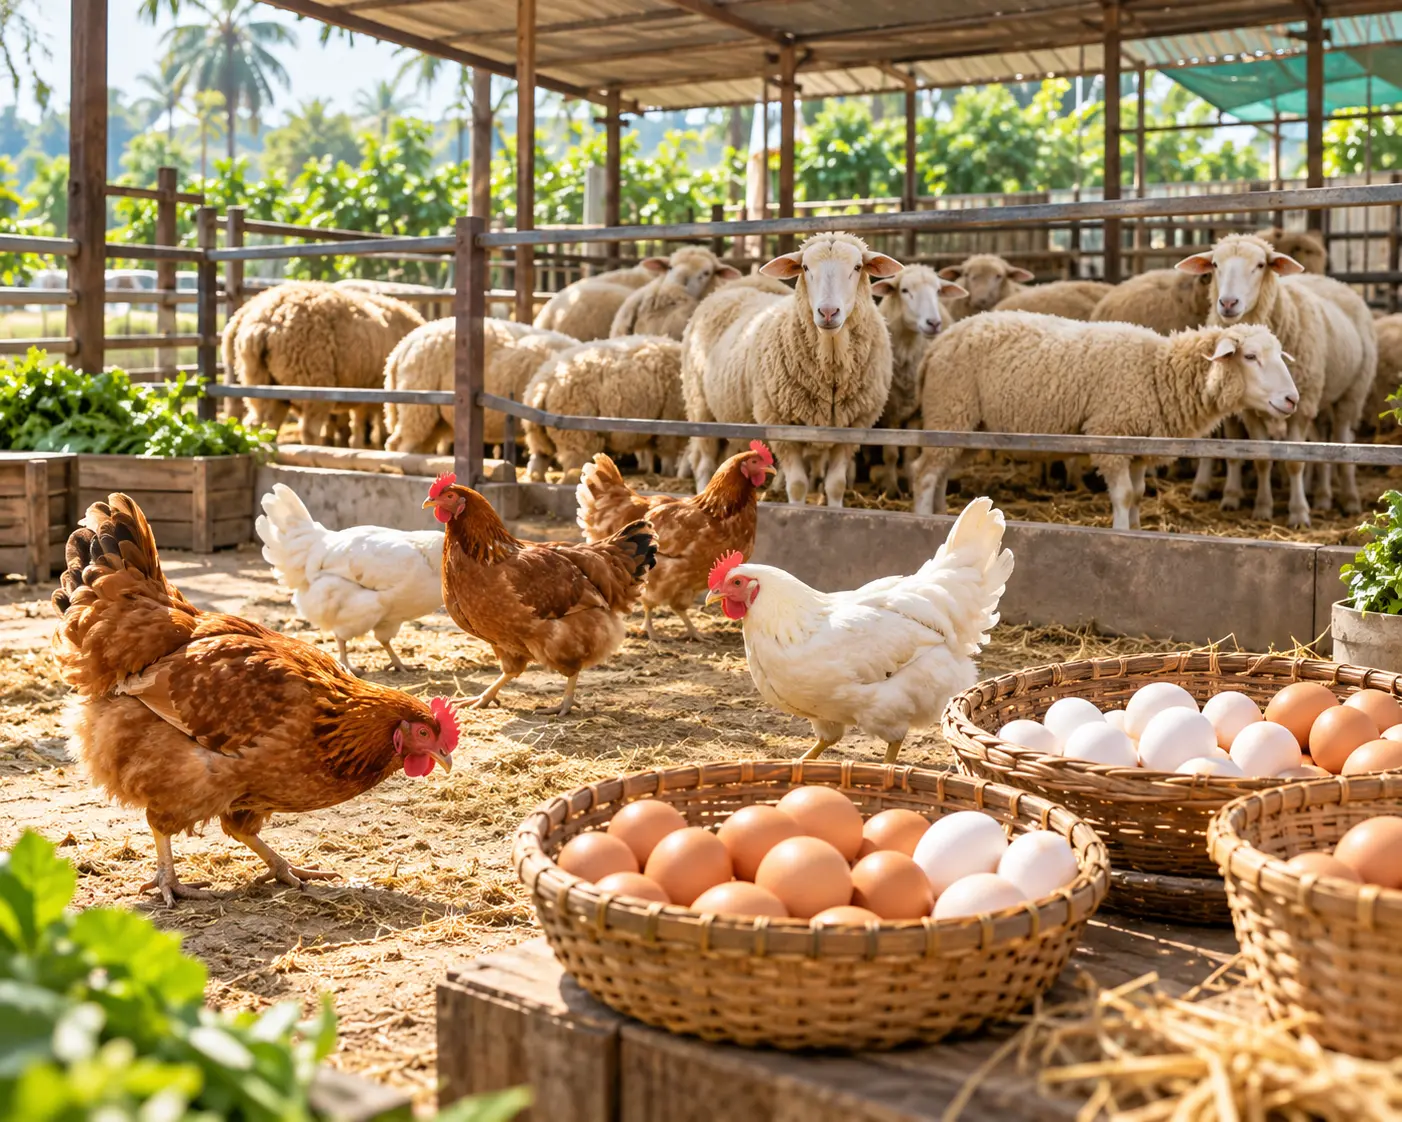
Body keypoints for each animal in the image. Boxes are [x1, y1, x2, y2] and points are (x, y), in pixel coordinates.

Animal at [222, 281, 424, 448]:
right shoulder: (372, 390)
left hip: (260, 381)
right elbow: (363, 422)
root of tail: (266, 320)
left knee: (260, 424)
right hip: (312, 380)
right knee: (308, 430)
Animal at [524, 335, 687, 482]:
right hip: (576, 437)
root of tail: (542, 385)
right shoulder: (671, 420)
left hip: (539, 438)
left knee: (537, 464)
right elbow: (668, 457)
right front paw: (669, 475)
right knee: (570, 474)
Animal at [681, 233, 900, 507]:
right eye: (805, 267)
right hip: (700, 407)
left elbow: (836, 485)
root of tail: (736, 285)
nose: (828, 312)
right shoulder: (780, 424)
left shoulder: (854, 427)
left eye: (858, 267)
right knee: (703, 462)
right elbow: (797, 486)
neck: (830, 367)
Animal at [910, 312, 1300, 530]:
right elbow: (1124, 495)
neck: (1157, 371)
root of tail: (936, 346)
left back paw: (943, 516)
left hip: (965, 426)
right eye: (1250, 356)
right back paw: (923, 518)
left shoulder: (1139, 445)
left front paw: (1139, 530)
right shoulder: (1109, 434)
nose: (1292, 399)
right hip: (951, 409)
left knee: (940, 471)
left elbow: (1139, 494)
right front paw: (1122, 532)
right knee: (925, 472)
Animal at [1176, 234, 1372, 524]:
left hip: (1352, 392)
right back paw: (1322, 497)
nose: (1228, 303)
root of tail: (1331, 281)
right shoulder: (1251, 409)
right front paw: (1262, 508)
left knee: (1343, 442)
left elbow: (1295, 461)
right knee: (1324, 442)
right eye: (1214, 264)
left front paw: (1299, 513)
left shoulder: (1299, 406)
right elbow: (1261, 459)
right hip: (1320, 396)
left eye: (1260, 265)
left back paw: (1349, 500)